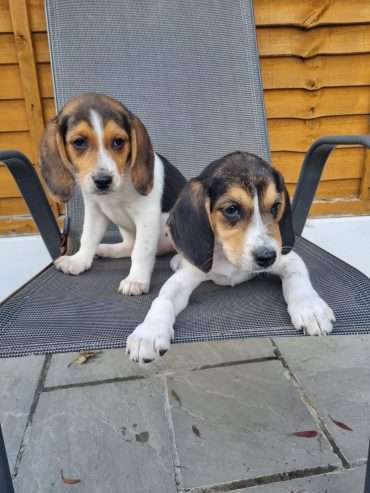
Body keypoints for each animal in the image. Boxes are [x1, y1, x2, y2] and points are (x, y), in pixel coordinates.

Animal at [39, 92, 185, 294]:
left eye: (118, 142)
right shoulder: (95, 211)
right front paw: (79, 260)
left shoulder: (147, 216)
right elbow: (88, 237)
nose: (103, 181)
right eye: (79, 142)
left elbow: (141, 251)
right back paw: (107, 250)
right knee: (129, 246)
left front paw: (136, 280)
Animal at [126, 150, 336, 362]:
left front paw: (310, 308)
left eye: (276, 207)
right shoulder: (185, 277)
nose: (267, 257)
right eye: (231, 210)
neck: (228, 258)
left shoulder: (288, 258)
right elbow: (163, 299)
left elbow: (298, 278)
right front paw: (150, 331)